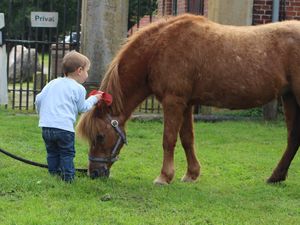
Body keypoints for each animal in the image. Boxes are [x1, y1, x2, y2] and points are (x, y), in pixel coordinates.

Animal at [76, 13, 300, 184]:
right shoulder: (186, 104)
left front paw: (164, 177)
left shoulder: (173, 101)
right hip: (289, 98)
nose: (94, 173)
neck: (159, 49)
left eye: (100, 136)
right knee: (293, 139)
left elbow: (169, 139)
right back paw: (275, 177)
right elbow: (187, 139)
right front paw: (191, 174)